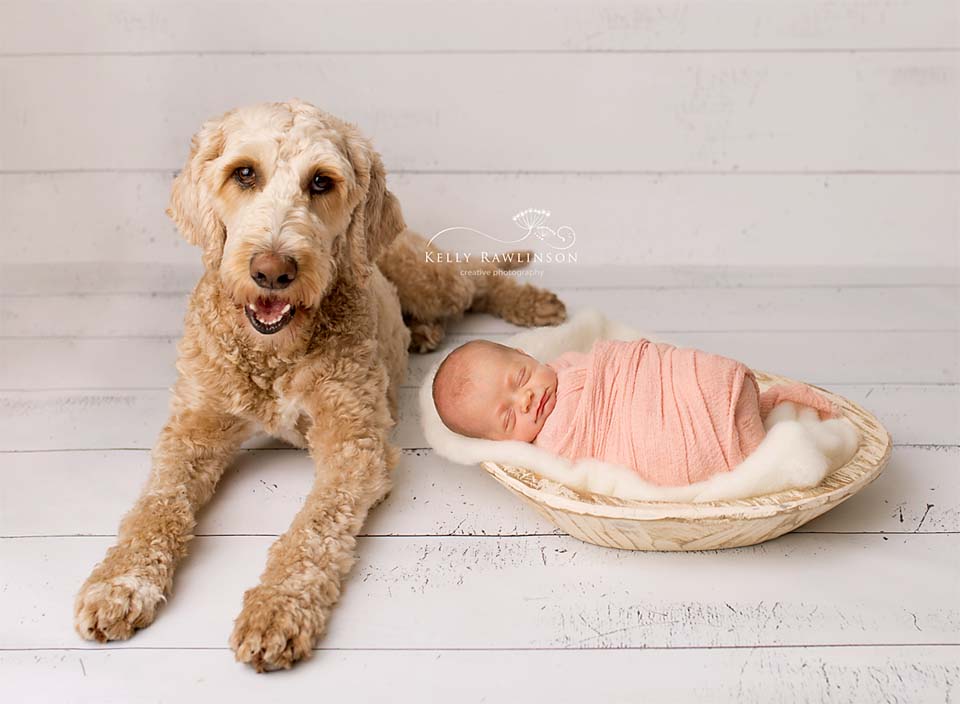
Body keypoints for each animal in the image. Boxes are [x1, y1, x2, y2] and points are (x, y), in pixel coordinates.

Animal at [77, 97, 568, 672]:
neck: (275, 354)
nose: (272, 271)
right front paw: (119, 585)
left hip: (428, 277)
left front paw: (275, 610)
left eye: (321, 182)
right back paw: (422, 333)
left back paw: (531, 303)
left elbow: (312, 529)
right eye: (244, 173)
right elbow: (157, 506)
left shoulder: (352, 442)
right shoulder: (193, 430)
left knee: (476, 282)